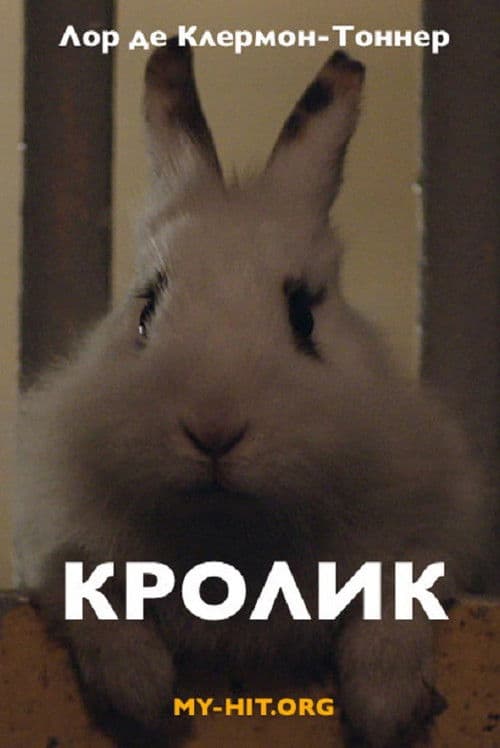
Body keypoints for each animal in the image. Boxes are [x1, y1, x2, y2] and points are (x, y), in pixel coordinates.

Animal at [16, 39, 491, 748]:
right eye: (145, 311)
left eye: (303, 316)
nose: (213, 429)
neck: (232, 537)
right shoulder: (55, 541)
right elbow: (91, 597)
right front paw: (142, 697)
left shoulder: (434, 530)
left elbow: (397, 598)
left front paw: (386, 707)